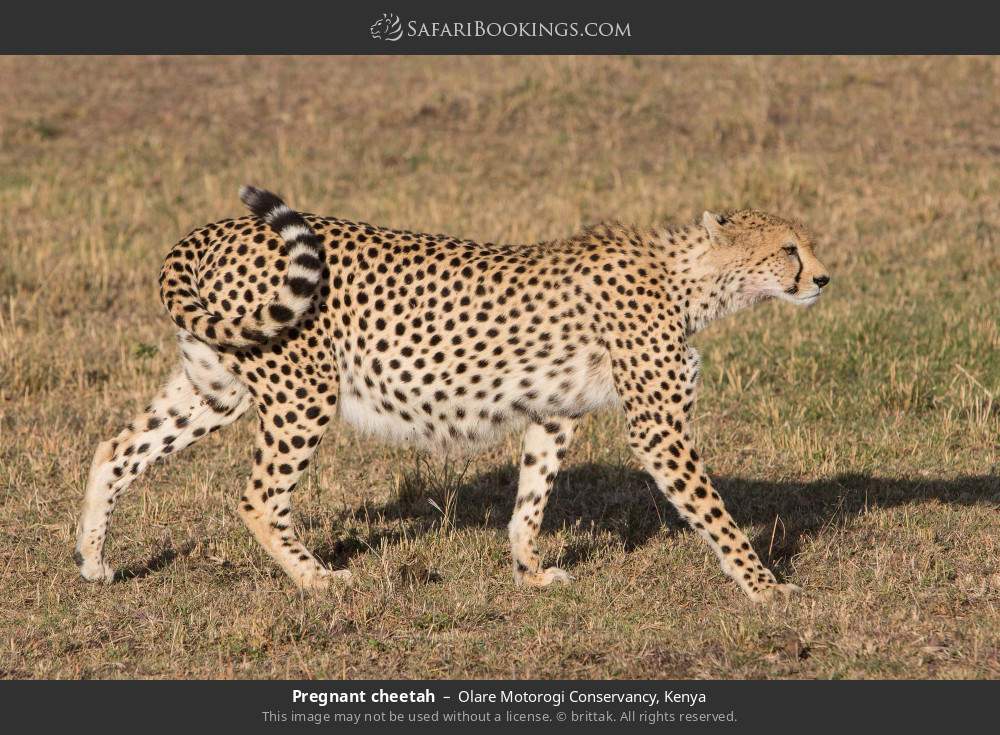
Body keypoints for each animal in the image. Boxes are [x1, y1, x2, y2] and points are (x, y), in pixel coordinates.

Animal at [74, 185, 830, 601]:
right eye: (789, 249)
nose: (823, 278)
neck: (689, 280)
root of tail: (219, 227)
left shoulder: (554, 412)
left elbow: (531, 498)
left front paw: (529, 573)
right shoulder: (660, 429)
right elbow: (716, 513)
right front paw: (768, 588)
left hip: (218, 388)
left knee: (115, 448)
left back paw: (93, 560)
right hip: (303, 390)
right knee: (258, 497)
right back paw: (318, 581)